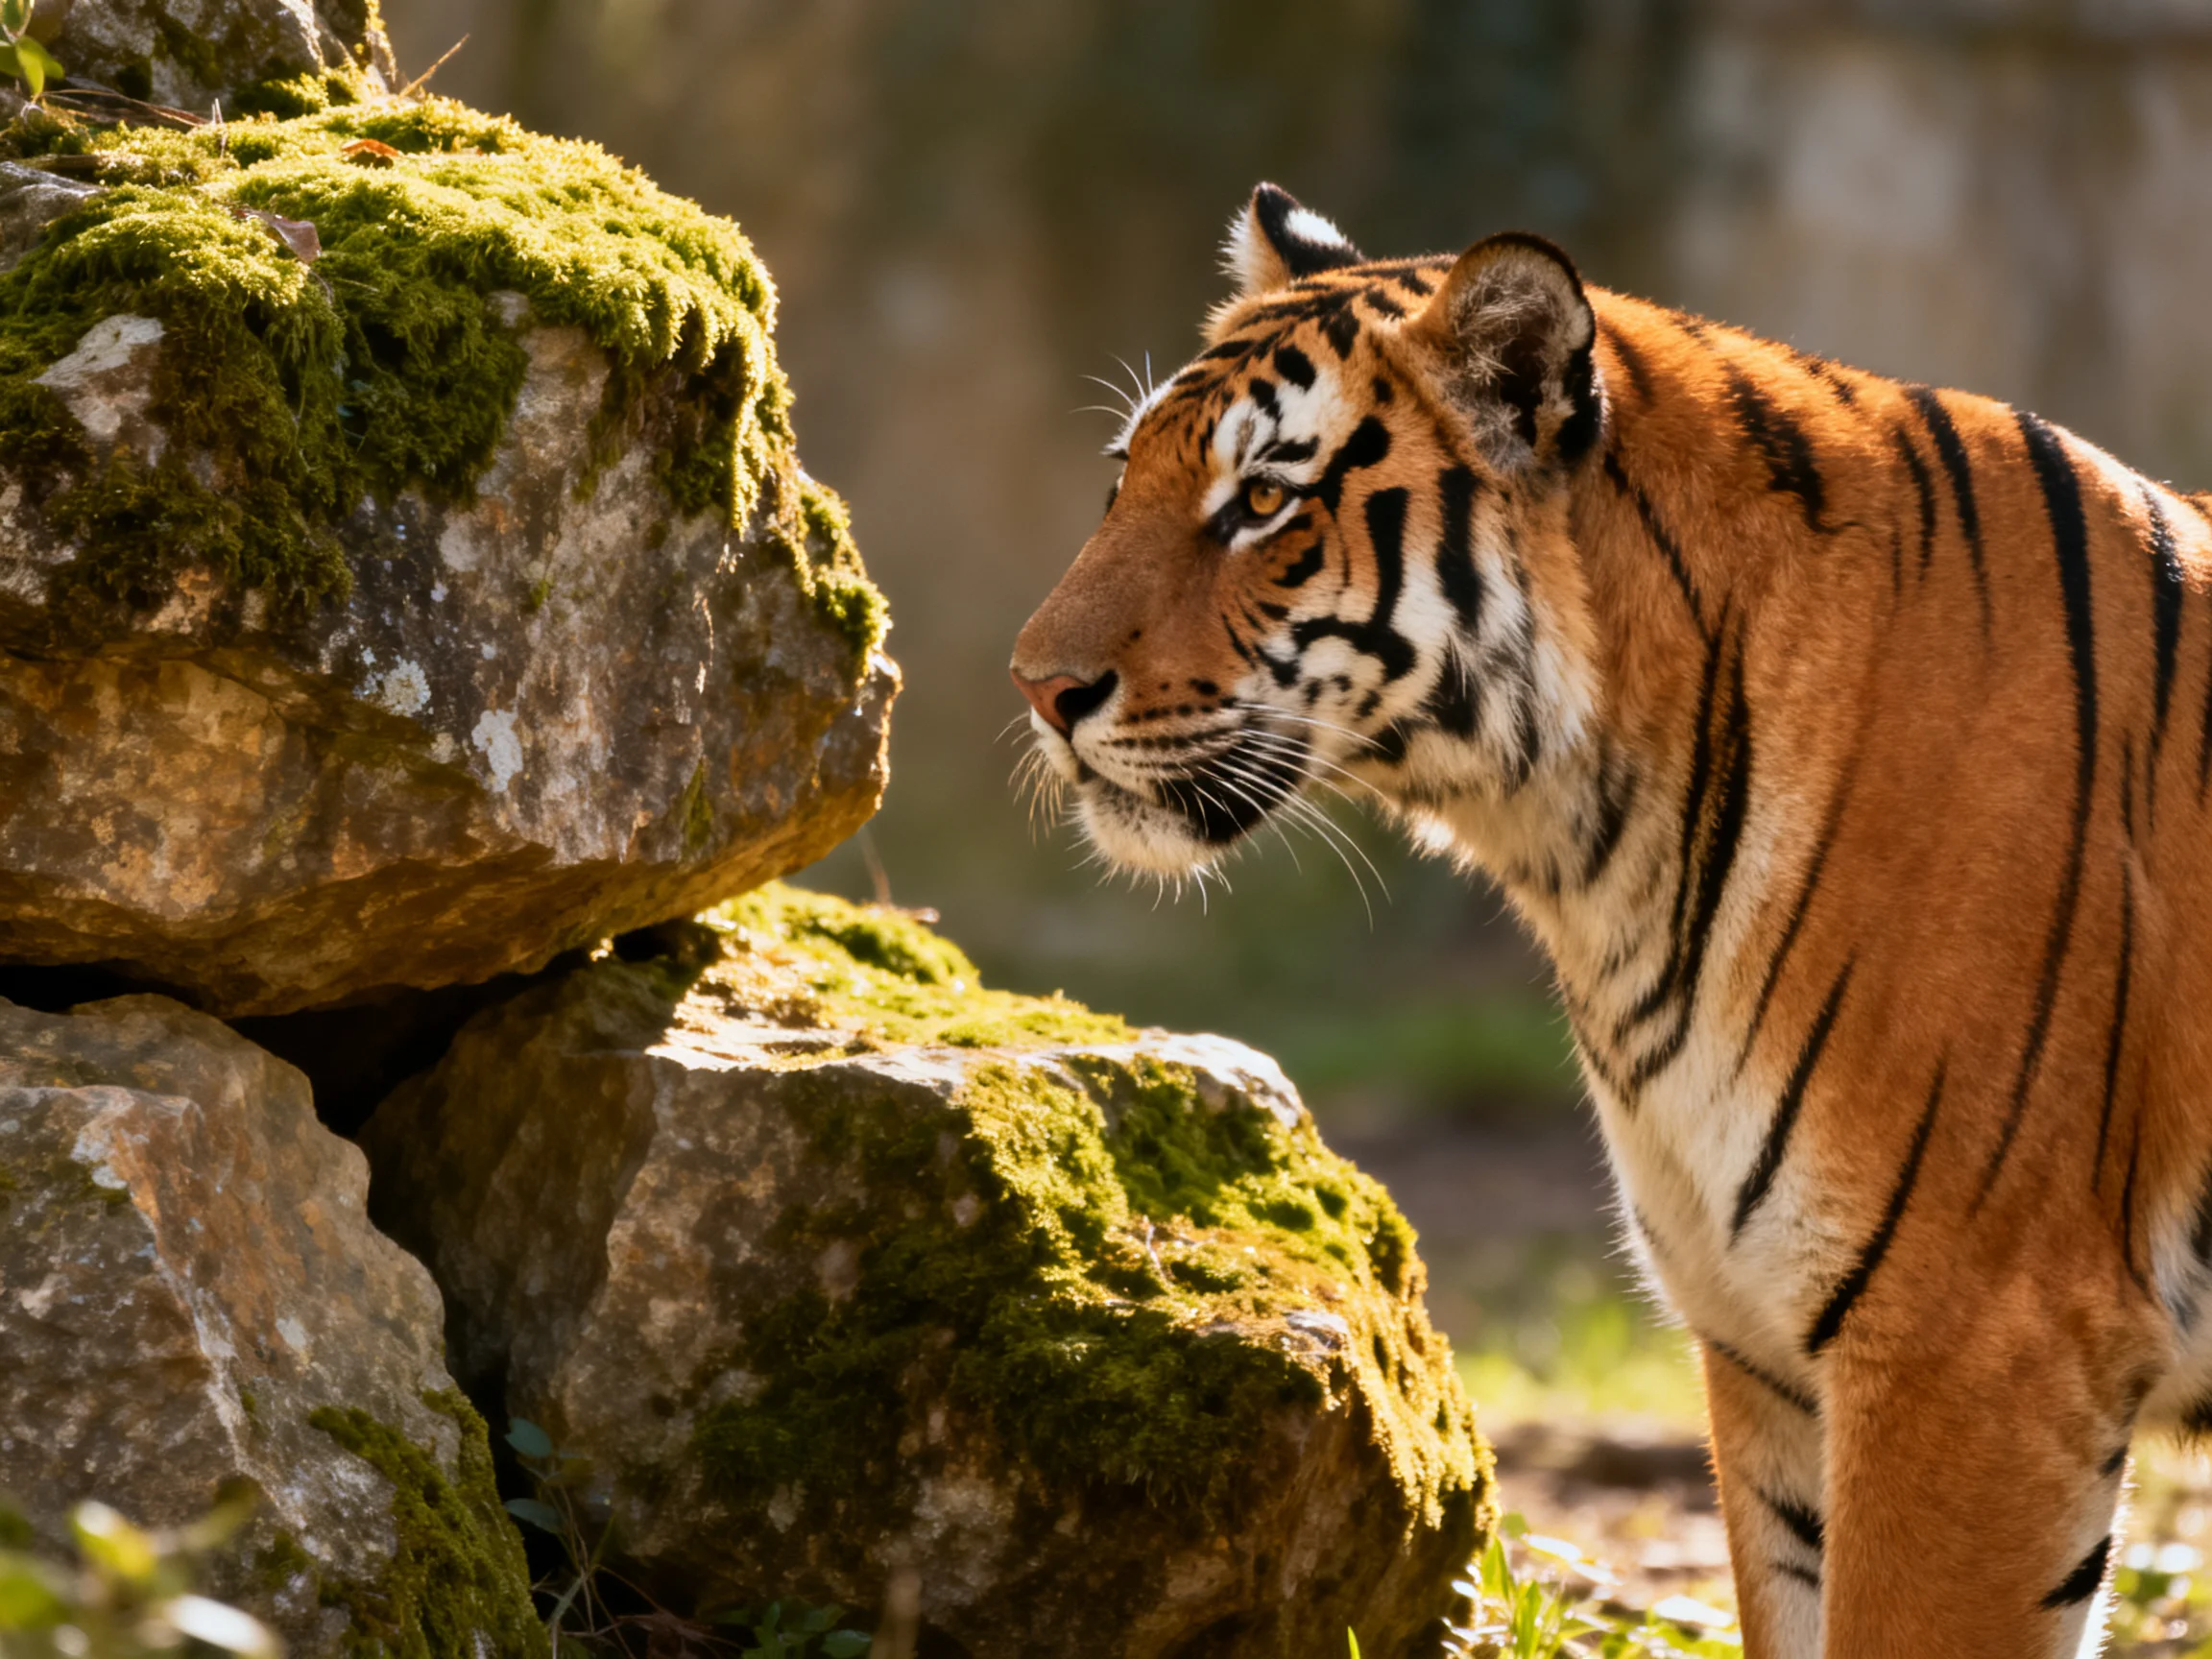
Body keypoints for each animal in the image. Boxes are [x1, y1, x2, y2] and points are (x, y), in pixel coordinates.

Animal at [1008, 181, 2212, 1659]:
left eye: (1266, 501)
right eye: (1122, 481)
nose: (1037, 686)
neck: (1596, 858)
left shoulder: (1973, 1346)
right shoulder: (1762, 1348)